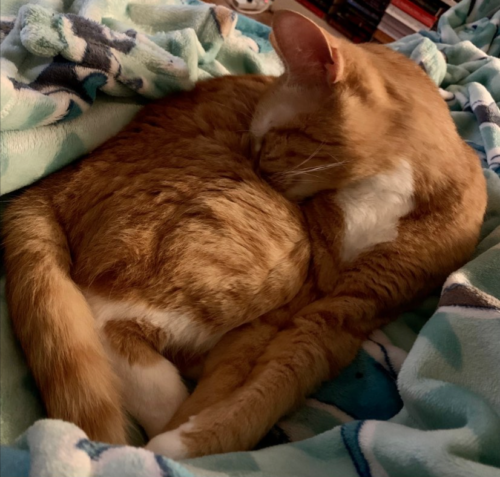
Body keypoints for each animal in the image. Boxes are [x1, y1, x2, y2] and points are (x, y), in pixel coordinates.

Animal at [2, 11, 484, 458]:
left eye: (267, 140)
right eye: (252, 141)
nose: (252, 161)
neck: (377, 194)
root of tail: (54, 180)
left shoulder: (343, 316)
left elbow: (272, 386)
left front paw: (190, 441)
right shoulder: (290, 301)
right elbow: (232, 383)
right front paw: (177, 445)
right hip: (269, 247)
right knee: (96, 310)